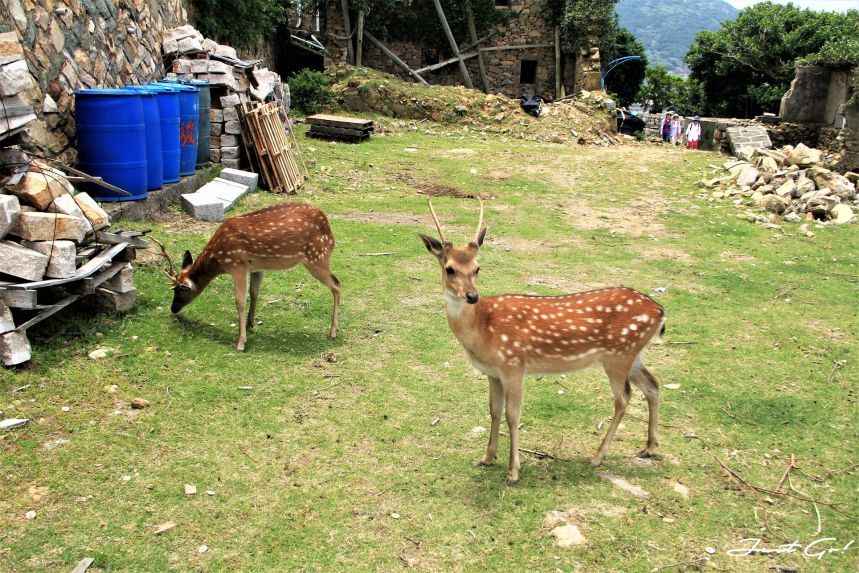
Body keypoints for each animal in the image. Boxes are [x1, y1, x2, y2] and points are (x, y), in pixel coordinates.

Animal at [153, 202, 340, 351]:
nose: (173, 308)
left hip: (316, 257)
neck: (218, 257)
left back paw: (333, 332)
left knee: (337, 284)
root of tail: (329, 230)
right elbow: (254, 293)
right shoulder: (257, 266)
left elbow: (240, 302)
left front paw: (240, 342)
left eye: (179, 290)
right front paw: (250, 325)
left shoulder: (238, 265)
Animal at [418, 199, 665, 485]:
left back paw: (597, 457)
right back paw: (649, 447)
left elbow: (512, 415)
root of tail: (661, 312)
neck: (482, 329)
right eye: (449, 269)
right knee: (652, 385)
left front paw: (513, 471)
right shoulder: (492, 373)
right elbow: (494, 410)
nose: (472, 296)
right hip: (632, 354)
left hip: (618, 355)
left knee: (624, 397)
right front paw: (487, 457)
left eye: (477, 268)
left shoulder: (514, 365)